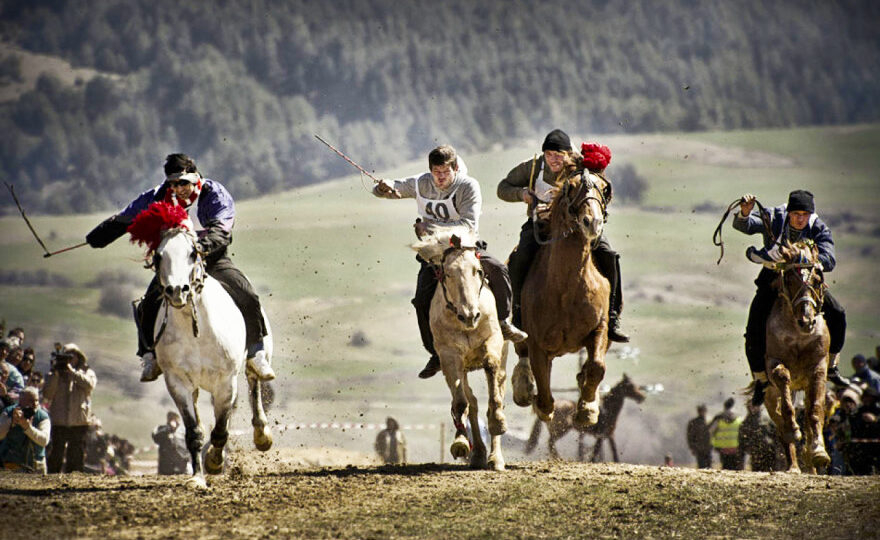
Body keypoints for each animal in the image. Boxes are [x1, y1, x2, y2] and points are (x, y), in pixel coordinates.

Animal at [129, 204, 270, 486]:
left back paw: (262, 433)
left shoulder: (226, 382)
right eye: (159, 256)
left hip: (252, 364)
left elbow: (221, 428)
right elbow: (194, 431)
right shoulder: (178, 382)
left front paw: (215, 461)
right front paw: (197, 477)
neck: (197, 330)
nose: (177, 291)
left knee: (254, 383)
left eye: (193, 252)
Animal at [412, 232, 508, 472]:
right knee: (470, 401)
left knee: (497, 390)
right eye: (447, 273)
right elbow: (461, 402)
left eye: (478, 271)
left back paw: (495, 458)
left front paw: (497, 421)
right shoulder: (449, 356)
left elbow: (491, 370)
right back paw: (478, 453)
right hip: (460, 367)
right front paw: (461, 443)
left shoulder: (493, 341)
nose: (470, 315)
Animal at [508, 168, 612, 426]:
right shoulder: (538, 343)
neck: (567, 287)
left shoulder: (600, 328)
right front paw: (542, 406)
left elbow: (596, 366)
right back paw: (524, 388)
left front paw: (587, 409)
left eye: (604, 188)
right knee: (523, 355)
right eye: (570, 187)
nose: (592, 222)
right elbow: (544, 393)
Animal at [764, 240, 832, 472]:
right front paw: (793, 429)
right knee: (780, 426)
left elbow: (815, 411)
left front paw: (819, 452)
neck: (797, 333)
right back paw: (793, 466)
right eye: (791, 280)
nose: (807, 321)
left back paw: (812, 462)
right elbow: (783, 382)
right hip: (769, 396)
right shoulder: (773, 363)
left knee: (811, 418)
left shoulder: (818, 368)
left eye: (817, 280)